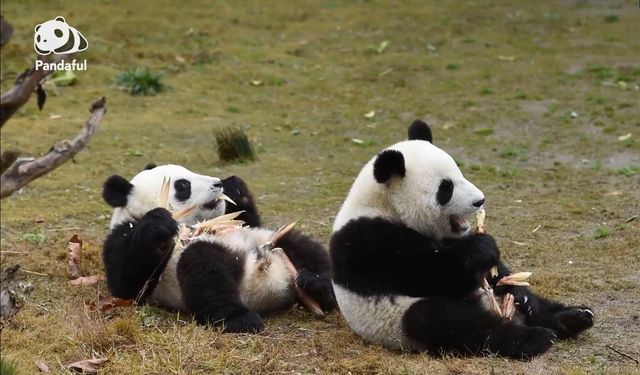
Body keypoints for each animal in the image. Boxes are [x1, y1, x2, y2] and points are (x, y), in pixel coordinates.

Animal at [101, 163, 336, 334]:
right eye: (183, 185)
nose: (217, 184)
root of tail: (270, 284)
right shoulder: (124, 234)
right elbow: (128, 283)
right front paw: (159, 222)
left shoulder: (241, 223)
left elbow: (248, 218)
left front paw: (233, 186)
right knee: (204, 268)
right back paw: (239, 319)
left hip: (269, 240)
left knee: (301, 246)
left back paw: (318, 285)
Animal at [330, 122, 596, 360]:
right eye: (445, 188)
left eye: (460, 173)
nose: (480, 200)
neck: (383, 204)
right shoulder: (369, 241)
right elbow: (431, 275)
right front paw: (483, 247)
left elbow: (499, 275)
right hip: (394, 318)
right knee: (448, 321)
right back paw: (533, 338)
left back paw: (572, 318)